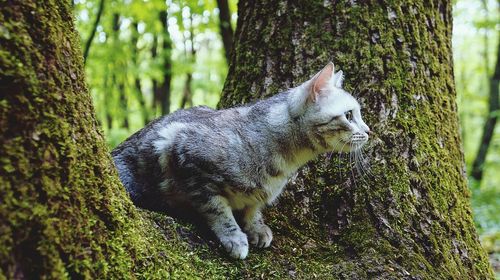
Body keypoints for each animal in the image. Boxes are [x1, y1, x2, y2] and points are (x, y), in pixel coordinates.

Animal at [113, 62, 372, 260]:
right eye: (349, 115)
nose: (369, 131)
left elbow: (254, 206)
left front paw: (255, 226)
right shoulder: (185, 155)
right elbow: (217, 209)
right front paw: (235, 237)